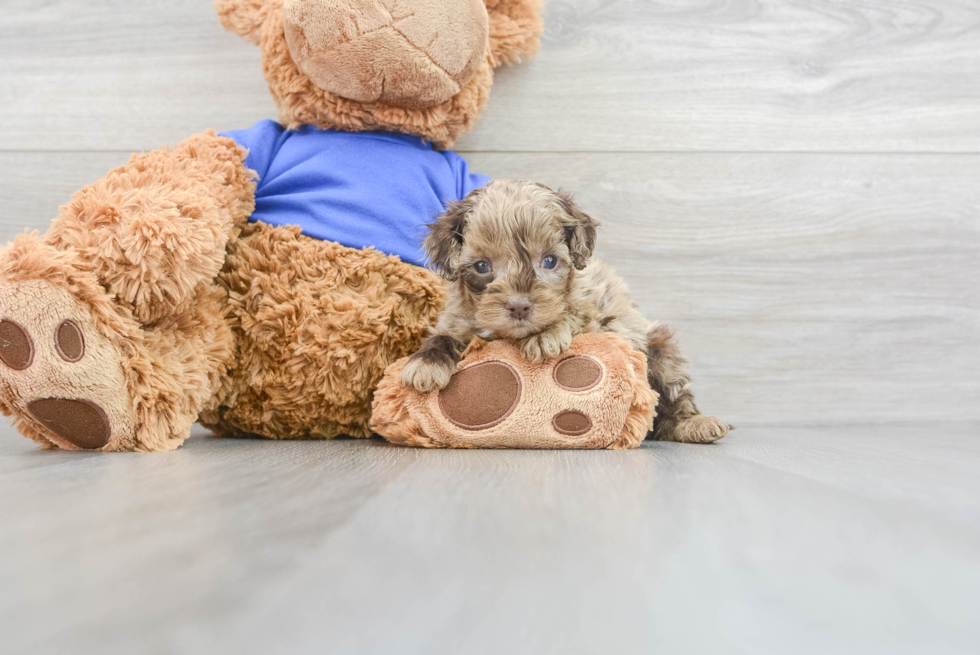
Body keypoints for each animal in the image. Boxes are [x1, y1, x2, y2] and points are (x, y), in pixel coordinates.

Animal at [398, 179, 728, 446]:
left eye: (549, 261)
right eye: (482, 266)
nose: (519, 306)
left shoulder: (603, 316)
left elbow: (575, 315)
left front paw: (545, 334)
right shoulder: (458, 318)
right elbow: (444, 336)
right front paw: (425, 363)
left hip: (662, 352)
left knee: (674, 399)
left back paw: (695, 424)